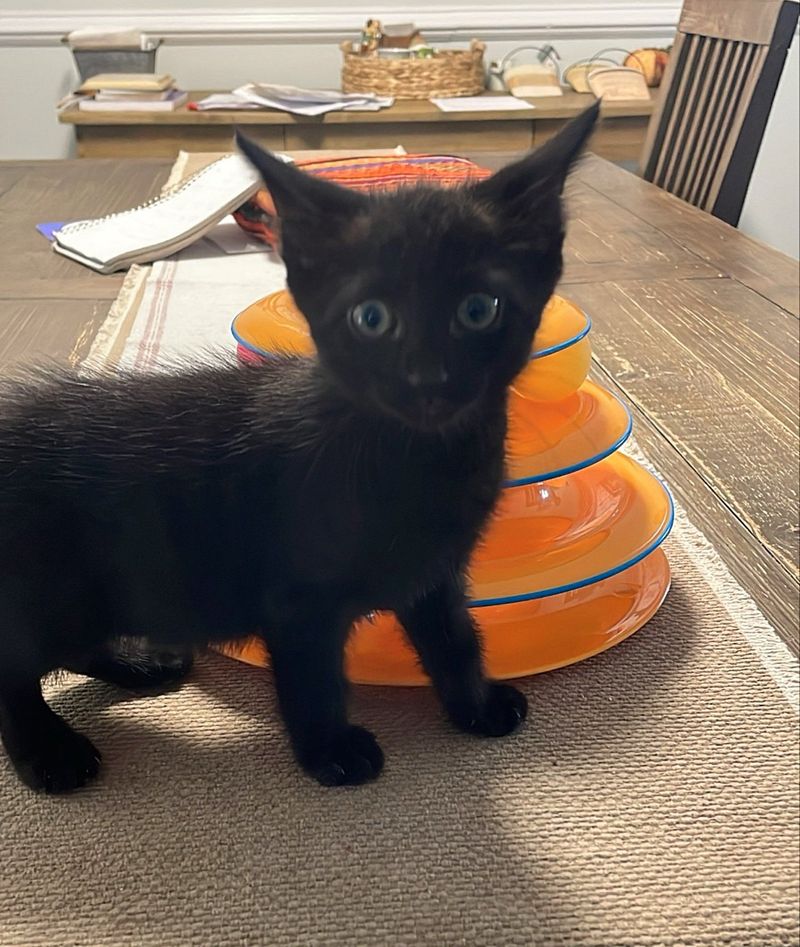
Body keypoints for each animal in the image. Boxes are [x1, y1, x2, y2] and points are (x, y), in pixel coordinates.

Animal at [0, 103, 596, 796]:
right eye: (371, 318)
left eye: (479, 309)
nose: (427, 379)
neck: (417, 459)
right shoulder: (298, 600)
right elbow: (314, 679)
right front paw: (330, 751)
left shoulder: (434, 572)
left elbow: (455, 639)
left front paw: (475, 705)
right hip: (49, 586)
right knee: (10, 666)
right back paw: (49, 751)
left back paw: (140, 664)